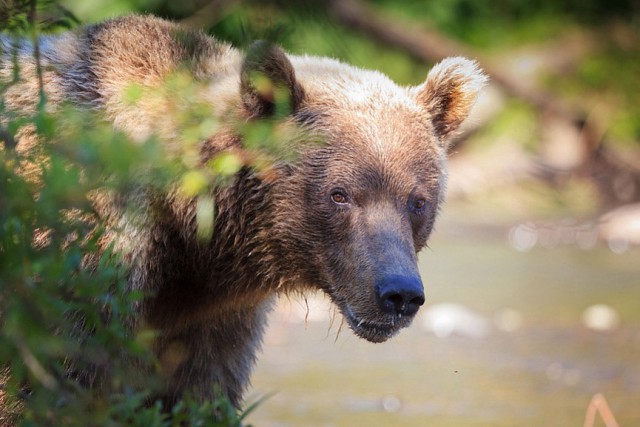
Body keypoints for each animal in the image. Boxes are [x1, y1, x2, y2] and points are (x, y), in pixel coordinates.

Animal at [2, 15, 488, 412]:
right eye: (340, 194)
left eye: (417, 200)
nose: (399, 293)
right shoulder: (85, 256)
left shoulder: (213, 320)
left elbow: (198, 392)